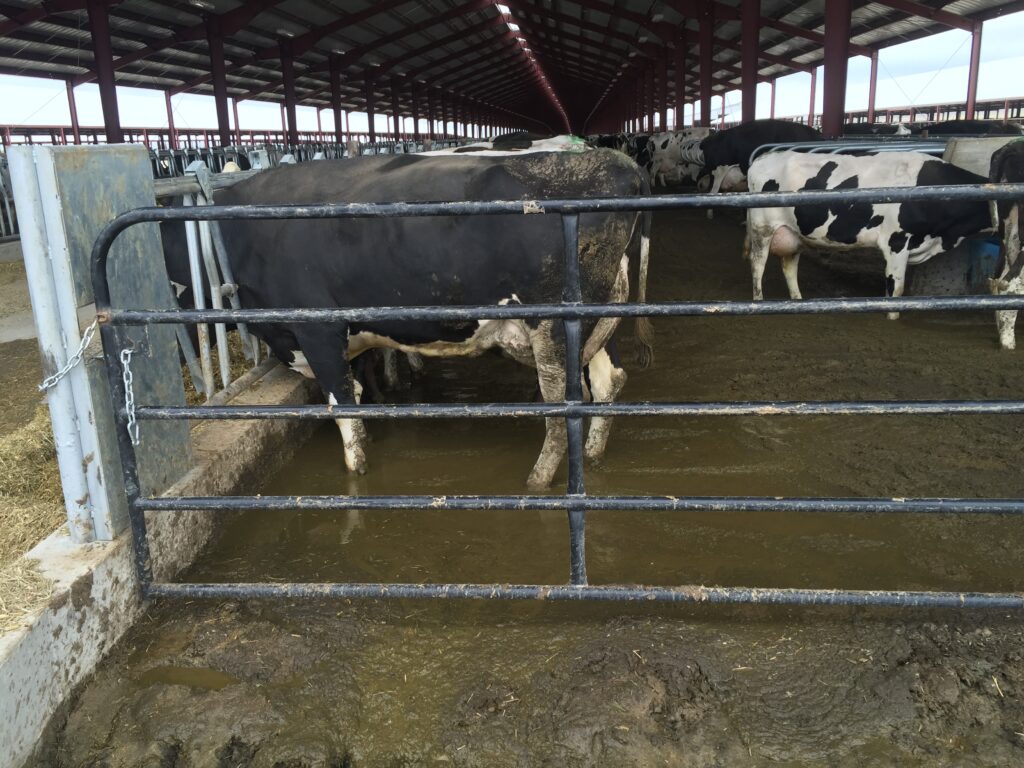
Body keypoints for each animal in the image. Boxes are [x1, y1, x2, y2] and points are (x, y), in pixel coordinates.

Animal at [166, 150, 647, 487]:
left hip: (552, 324)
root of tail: (620, 165)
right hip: (600, 317)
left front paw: (356, 470)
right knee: (610, 380)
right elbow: (361, 392)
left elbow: (343, 407)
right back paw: (594, 455)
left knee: (562, 405)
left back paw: (538, 479)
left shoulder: (317, 327)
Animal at [745, 150, 991, 319]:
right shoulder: (896, 241)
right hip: (762, 229)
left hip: (793, 233)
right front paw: (892, 318)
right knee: (757, 264)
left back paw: (797, 302)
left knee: (789, 266)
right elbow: (896, 287)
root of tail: (765, 157)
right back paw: (758, 303)